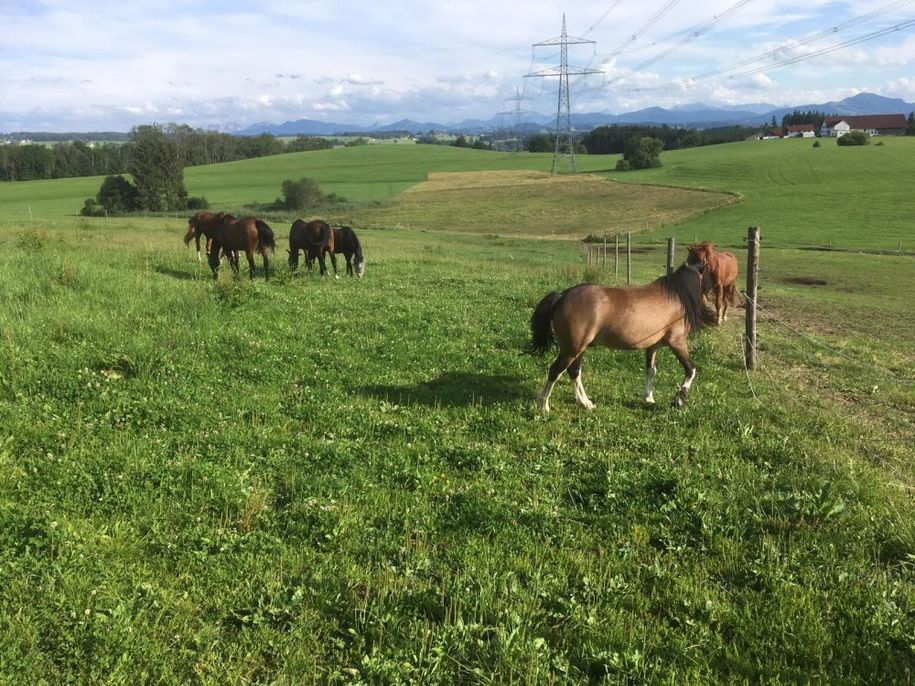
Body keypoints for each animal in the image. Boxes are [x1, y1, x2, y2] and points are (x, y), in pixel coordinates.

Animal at [524, 262, 716, 414]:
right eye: (707, 279)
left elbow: (651, 370)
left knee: (574, 371)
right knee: (555, 370)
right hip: (572, 348)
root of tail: (562, 296)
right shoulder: (676, 342)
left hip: (578, 348)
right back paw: (543, 406)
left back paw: (585, 403)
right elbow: (691, 369)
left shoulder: (652, 346)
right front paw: (679, 399)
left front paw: (648, 398)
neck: (676, 299)